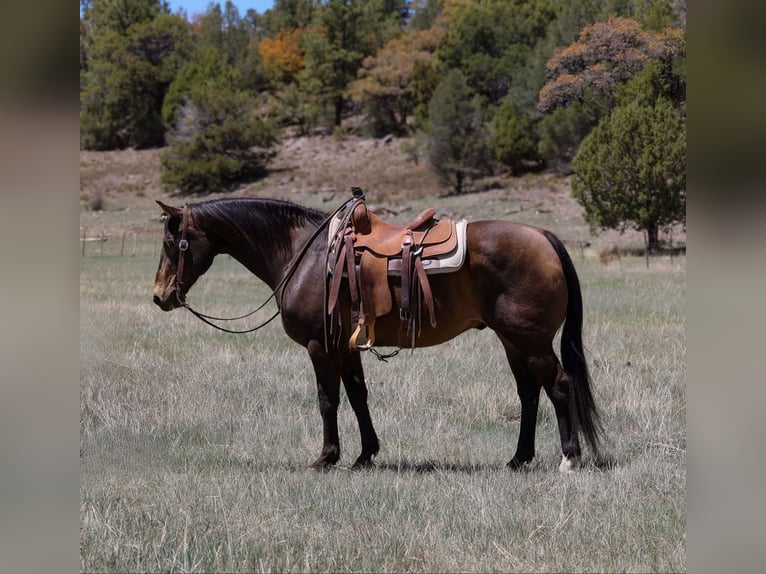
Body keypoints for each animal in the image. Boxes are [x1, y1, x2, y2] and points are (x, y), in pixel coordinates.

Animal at [153, 196, 602, 472]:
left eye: (174, 243)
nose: (160, 296)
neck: (304, 254)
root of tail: (543, 237)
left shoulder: (319, 346)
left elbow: (328, 401)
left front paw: (326, 458)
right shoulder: (345, 346)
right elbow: (357, 396)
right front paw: (365, 455)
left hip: (532, 342)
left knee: (558, 386)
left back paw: (569, 458)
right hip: (512, 341)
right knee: (529, 393)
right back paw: (518, 458)